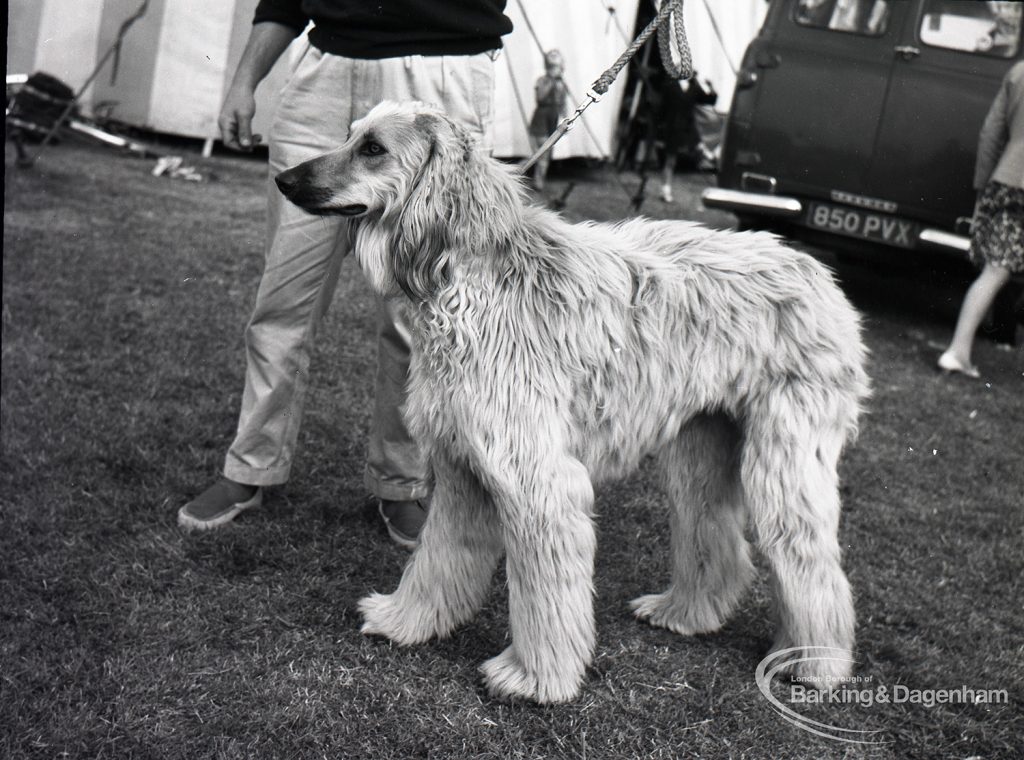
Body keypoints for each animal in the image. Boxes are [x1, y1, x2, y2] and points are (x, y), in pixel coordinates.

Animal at [276, 102, 868, 708]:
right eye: (350, 136)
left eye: (373, 149)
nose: (284, 180)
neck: (471, 281)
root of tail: (819, 274)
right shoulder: (464, 464)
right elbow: (438, 556)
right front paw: (406, 621)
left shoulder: (534, 476)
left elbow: (544, 592)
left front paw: (536, 679)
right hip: (702, 442)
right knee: (714, 532)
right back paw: (685, 613)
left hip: (784, 452)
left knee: (807, 552)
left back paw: (816, 664)